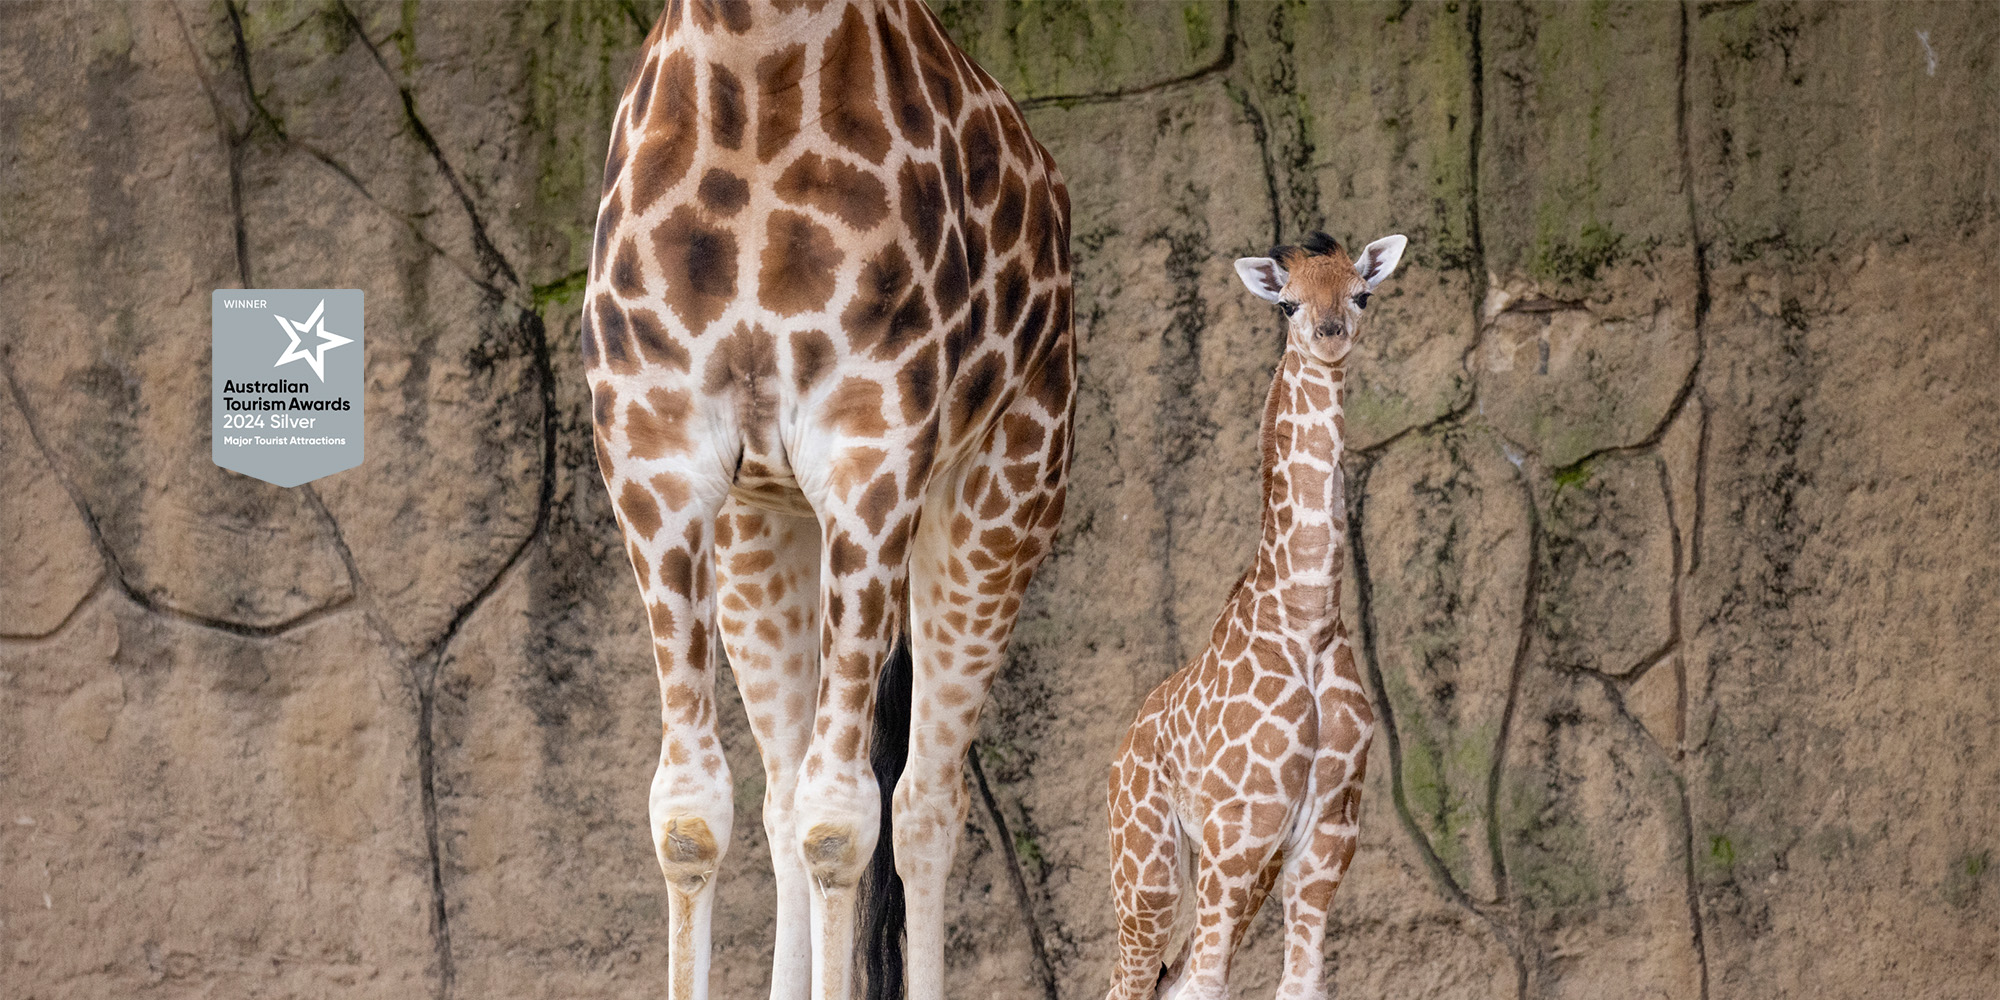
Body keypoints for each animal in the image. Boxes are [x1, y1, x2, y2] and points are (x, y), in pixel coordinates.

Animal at [582, 3, 1073, 1000]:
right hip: (760, 527)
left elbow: (842, 819)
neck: (747, 54)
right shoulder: (650, 452)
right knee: (781, 793)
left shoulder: (872, 456)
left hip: (1007, 492)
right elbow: (689, 812)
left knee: (923, 803)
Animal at [1103, 232, 1407, 1000]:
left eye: (1361, 294)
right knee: (1133, 979)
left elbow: (1300, 985)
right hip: (1149, 868)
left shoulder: (1326, 836)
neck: (1304, 615)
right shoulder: (1237, 832)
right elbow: (1208, 984)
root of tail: (1122, 750)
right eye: (1289, 303)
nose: (1329, 335)